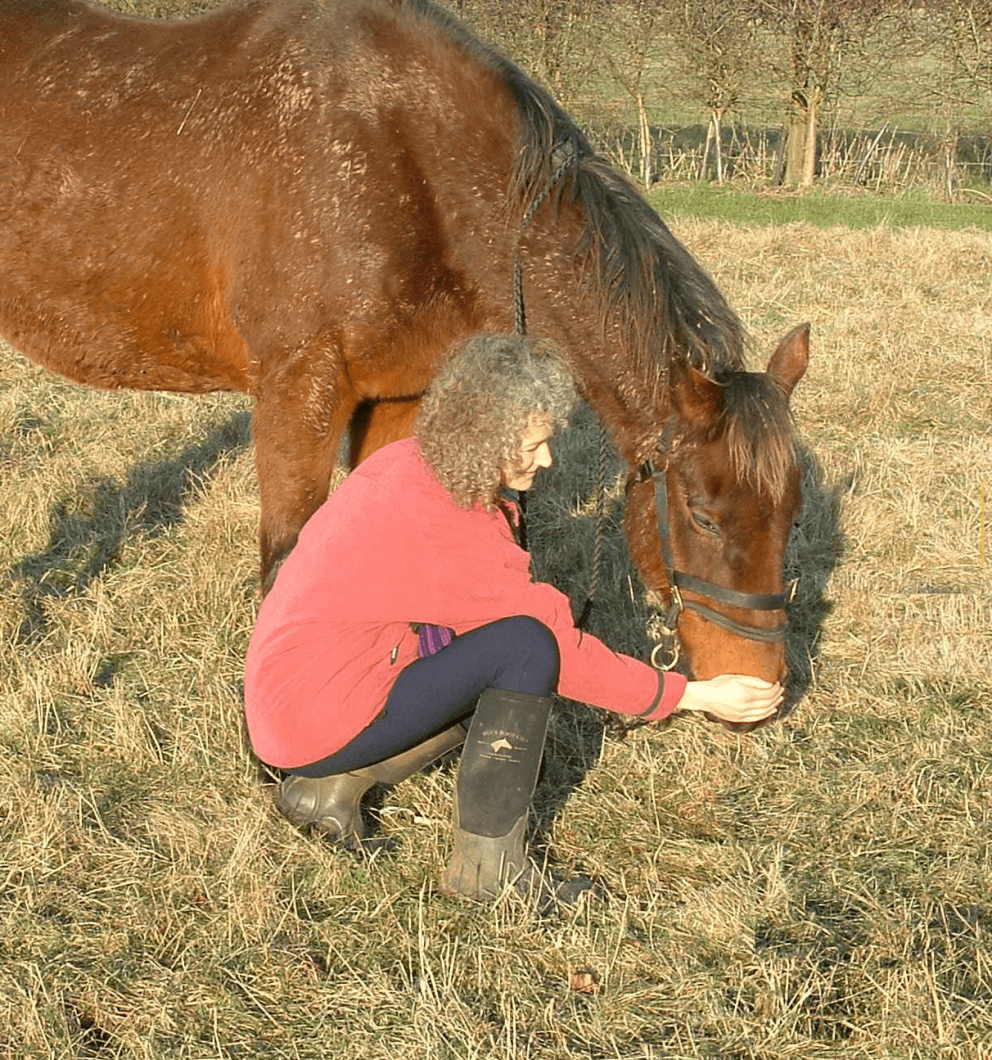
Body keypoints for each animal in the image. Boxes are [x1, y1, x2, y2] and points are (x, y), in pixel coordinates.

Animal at [0, 0, 809, 691]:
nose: (760, 687)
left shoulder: (396, 394)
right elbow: (289, 558)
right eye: (701, 515)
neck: (401, 148)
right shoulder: (299, 387)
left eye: (793, 513)